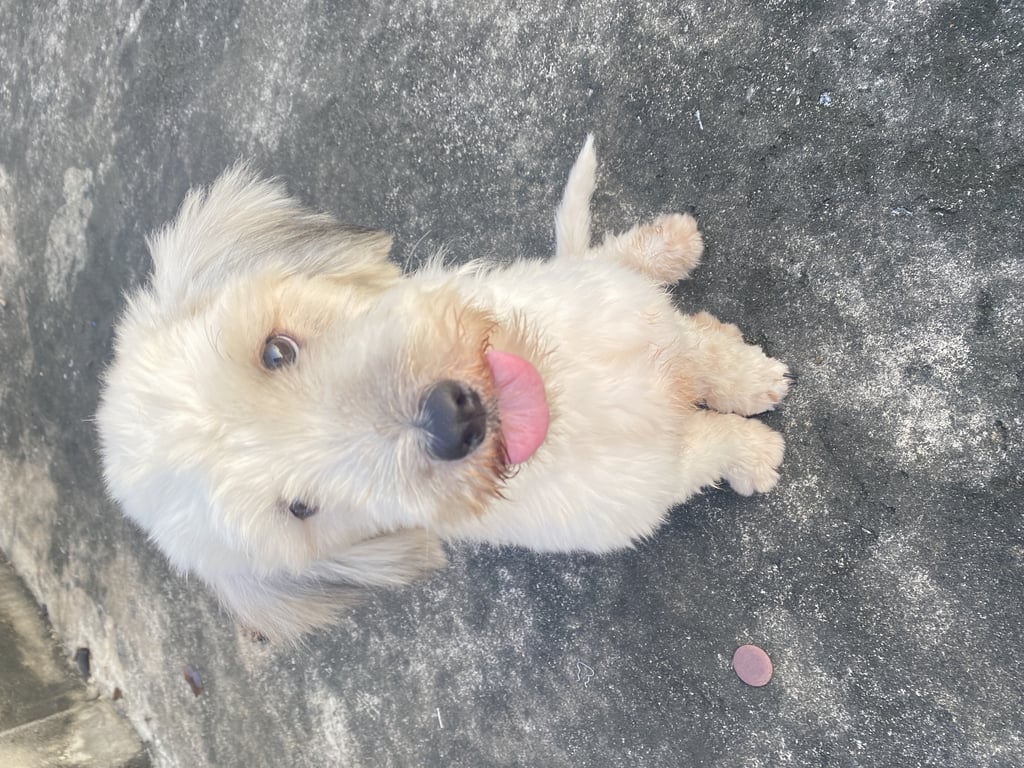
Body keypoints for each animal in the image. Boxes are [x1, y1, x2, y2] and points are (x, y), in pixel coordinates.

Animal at [97, 137, 789, 641]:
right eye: (301, 509)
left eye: (276, 351)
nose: (451, 421)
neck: (568, 401)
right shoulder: (649, 488)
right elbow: (707, 445)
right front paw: (755, 453)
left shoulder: (643, 323)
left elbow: (707, 356)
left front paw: (753, 378)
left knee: (620, 264)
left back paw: (670, 244)